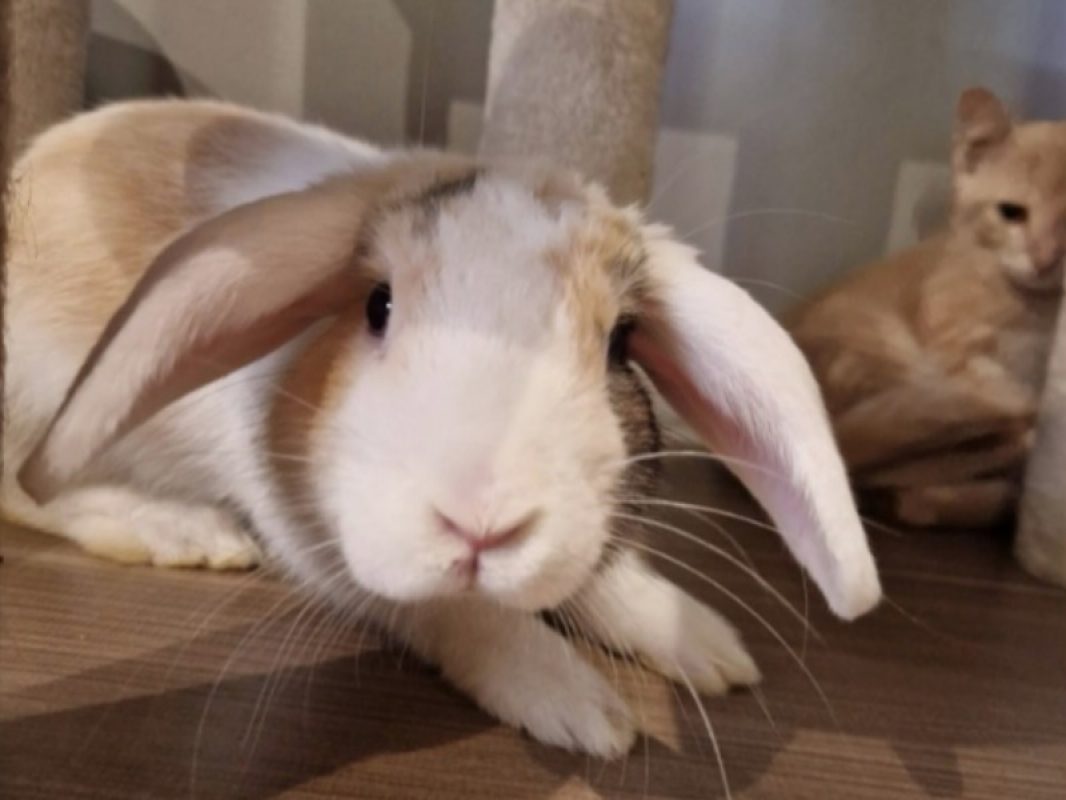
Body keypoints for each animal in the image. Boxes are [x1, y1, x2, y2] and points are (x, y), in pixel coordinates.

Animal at [2, 98, 880, 757]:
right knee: (25, 492)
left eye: (621, 342)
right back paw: (182, 530)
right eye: (377, 303)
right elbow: (455, 613)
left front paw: (703, 642)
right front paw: (577, 704)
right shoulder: (324, 546)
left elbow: (601, 578)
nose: (481, 524)